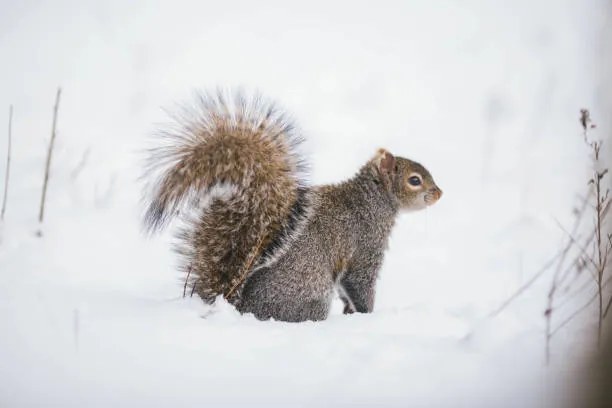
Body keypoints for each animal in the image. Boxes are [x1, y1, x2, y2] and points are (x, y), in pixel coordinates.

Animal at [142, 91, 440, 322]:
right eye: (414, 180)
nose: (439, 193)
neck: (371, 199)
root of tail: (240, 307)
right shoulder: (366, 246)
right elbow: (359, 284)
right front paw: (368, 317)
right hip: (313, 292)